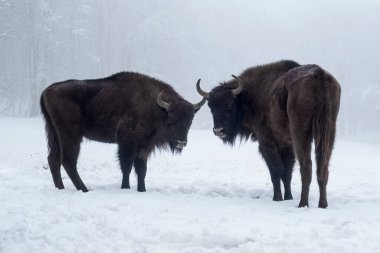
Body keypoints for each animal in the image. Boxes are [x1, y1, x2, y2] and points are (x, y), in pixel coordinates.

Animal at [40, 72, 206, 193]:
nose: (181, 142)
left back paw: (60, 188)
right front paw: (125, 188)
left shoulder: (144, 147)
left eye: (190, 119)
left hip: (54, 133)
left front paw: (142, 190)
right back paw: (84, 189)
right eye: (171, 118)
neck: (157, 108)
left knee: (53, 159)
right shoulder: (127, 143)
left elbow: (141, 170)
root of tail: (47, 90)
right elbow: (126, 167)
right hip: (71, 134)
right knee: (68, 160)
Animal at [197, 59, 340, 208]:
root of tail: (319, 74)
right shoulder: (286, 144)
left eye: (229, 104)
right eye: (211, 106)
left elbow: (276, 170)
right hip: (329, 132)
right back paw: (323, 204)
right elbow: (287, 171)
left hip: (301, 133)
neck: (249, 94)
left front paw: (277, 198)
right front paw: (288, 197)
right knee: (323, 167)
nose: (218, 130)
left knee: (306, 166)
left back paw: (302, 204)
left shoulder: (267, 141)